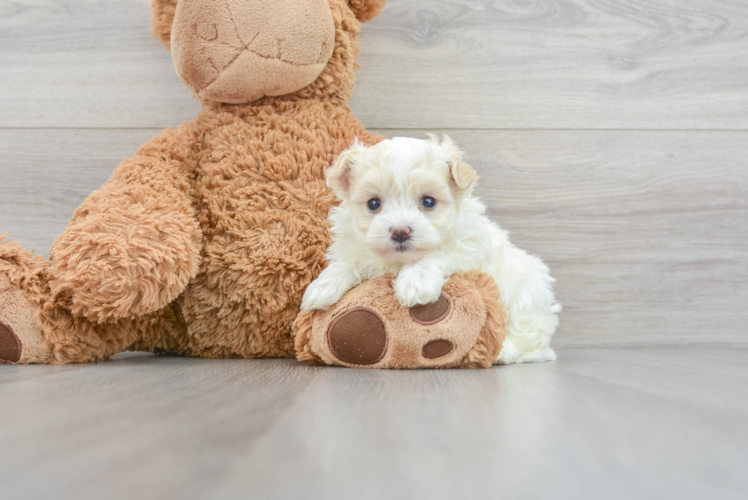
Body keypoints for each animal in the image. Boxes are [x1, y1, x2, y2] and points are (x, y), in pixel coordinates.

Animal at [300, 137, 560, 364]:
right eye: (373, 203)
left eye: (428, 201)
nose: (400, 231)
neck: (398, 261)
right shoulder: (355, 247)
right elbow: (347, 262)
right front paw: (322, 287)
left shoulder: (467, 248)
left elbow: (435, 255)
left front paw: (416, 282)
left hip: (526, 299)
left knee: (528, 339)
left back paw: (504, 351)